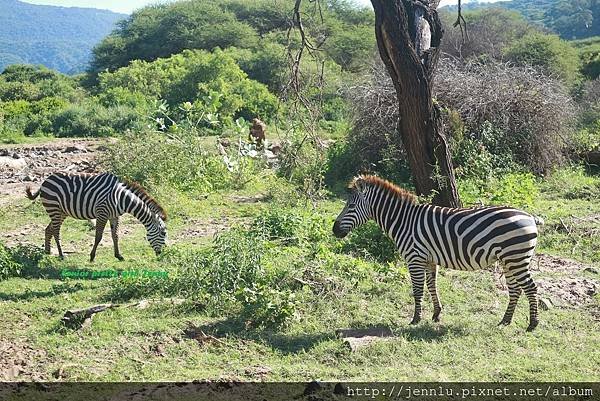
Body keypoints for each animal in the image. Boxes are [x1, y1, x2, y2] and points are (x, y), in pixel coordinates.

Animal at [25, 171, 166, 260]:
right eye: (163, 233)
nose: (162, 254)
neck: (121, 199)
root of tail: (45, 180)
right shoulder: (102, 213)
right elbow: (98, 236)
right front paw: (92, 256)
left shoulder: (114, 216)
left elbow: (115, 235)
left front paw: (118, 256)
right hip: (53, 207)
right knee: (56, 231)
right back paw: (61, 254)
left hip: (61, 211)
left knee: (49, 229)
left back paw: (47, 251)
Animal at [330, 175, 540, 332]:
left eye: (350, 206)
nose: (334, 230)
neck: (403, 221)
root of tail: (529, 217)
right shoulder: (429, 259)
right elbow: (432, 286)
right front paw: (436, 314)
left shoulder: (414, 258)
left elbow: (418, 290)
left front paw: (415, 319)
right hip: (508, 259)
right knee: (515, 289)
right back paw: (505, 321)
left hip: (516, 257)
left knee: (530, 288)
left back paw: (532, 324)